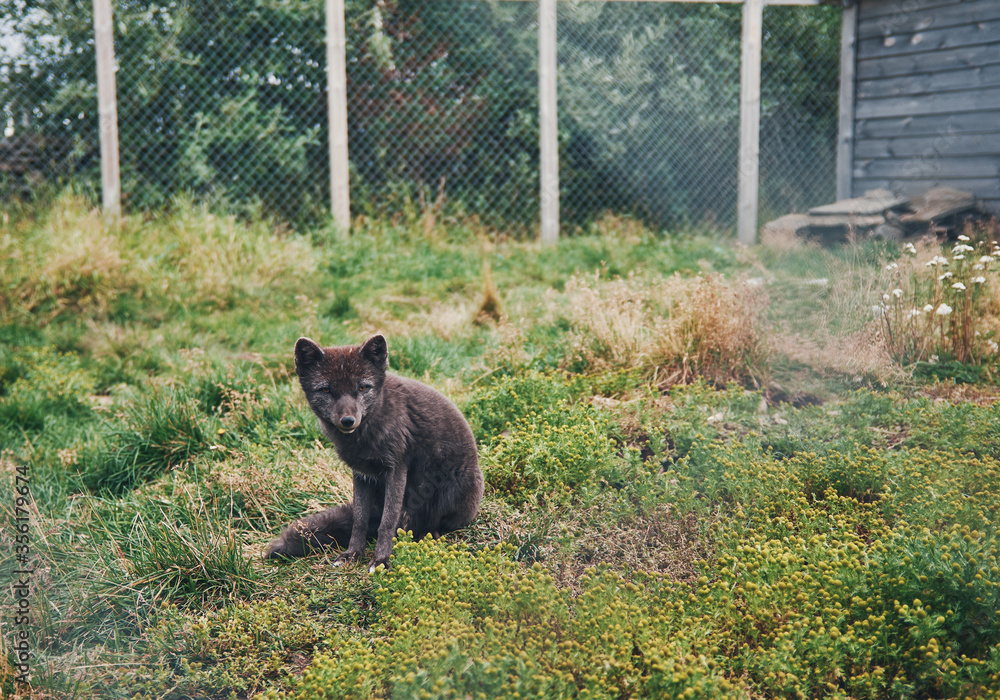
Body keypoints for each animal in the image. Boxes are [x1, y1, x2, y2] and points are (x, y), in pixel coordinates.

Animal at [266, 334, 484, 568]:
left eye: (362, 388)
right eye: (325, 390)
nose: (348, 420)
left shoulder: (396, 469)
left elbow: (387, 522)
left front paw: (380, 560)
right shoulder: (362, 474)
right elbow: (359, 520)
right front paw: (352, 554)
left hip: (448, 494)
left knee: (429, 522)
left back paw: (427, 535)